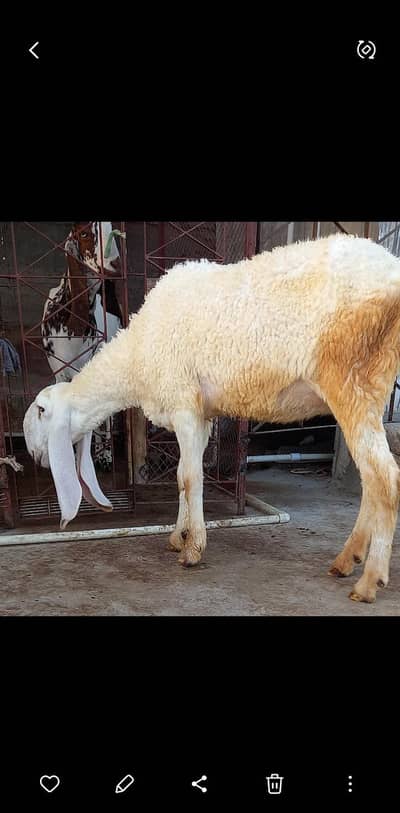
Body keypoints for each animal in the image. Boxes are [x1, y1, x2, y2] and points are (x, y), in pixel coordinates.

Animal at [23, 234, 400, 604]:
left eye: (40, 412)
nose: (36, 457)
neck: (136, 356)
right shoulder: (200, 416)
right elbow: (179, 477)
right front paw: (179, 534)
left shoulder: (184, 405)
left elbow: (192, 478)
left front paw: (192, 549)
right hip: (374, 388)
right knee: (370, 480)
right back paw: (347, 559)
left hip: (351, 379)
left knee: (385, 478)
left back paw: (369, 580)